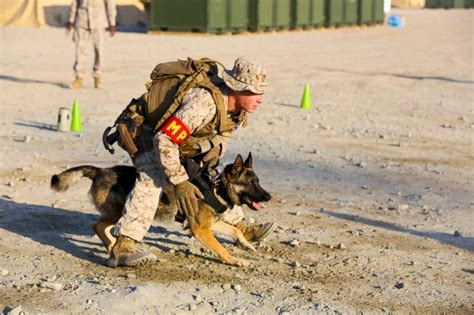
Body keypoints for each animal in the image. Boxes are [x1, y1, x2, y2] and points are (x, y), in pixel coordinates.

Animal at [51, 154, 270, 268]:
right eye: (250, 183)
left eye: (258, 181)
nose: (268, 197)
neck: (217, 186)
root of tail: (100, 171)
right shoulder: (201, 230)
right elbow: (221, 248)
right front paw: (234, 260)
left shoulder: (211, 224)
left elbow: (236, 230)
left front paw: (246, 245)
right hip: (122, 211)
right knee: (99, 225)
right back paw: (115, 247)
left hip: (116, 212)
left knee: (98, 225)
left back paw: (112, 246)